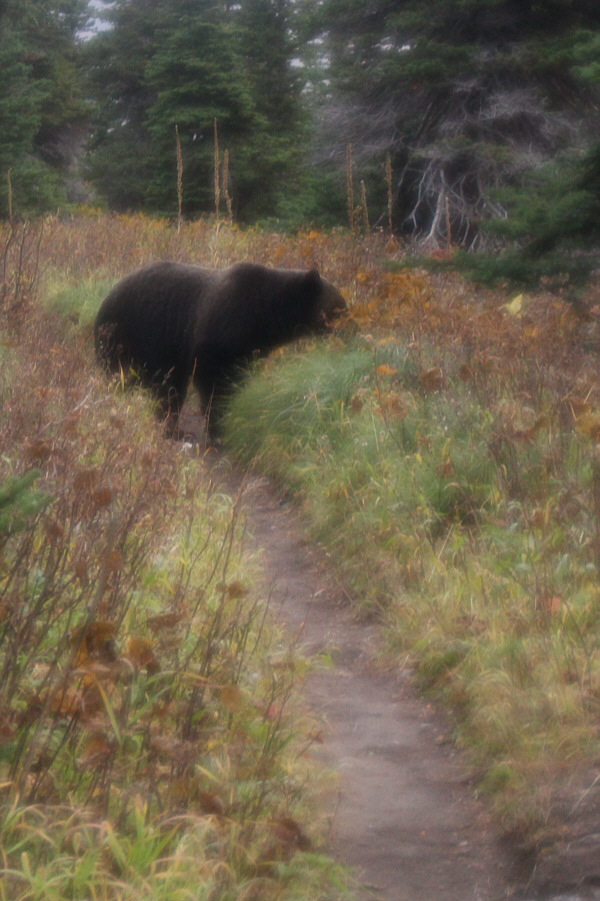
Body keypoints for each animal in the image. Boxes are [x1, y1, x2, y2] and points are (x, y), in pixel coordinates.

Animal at [94, 260, 346, 439]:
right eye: (339, 307)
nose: (348, 327)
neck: (265, 316)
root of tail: (107, 297)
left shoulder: (248, 350)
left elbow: (236, 379)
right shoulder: (221, 333)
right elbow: (214, 383)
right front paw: (218, 427)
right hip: (130, 334)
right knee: (136, 379)